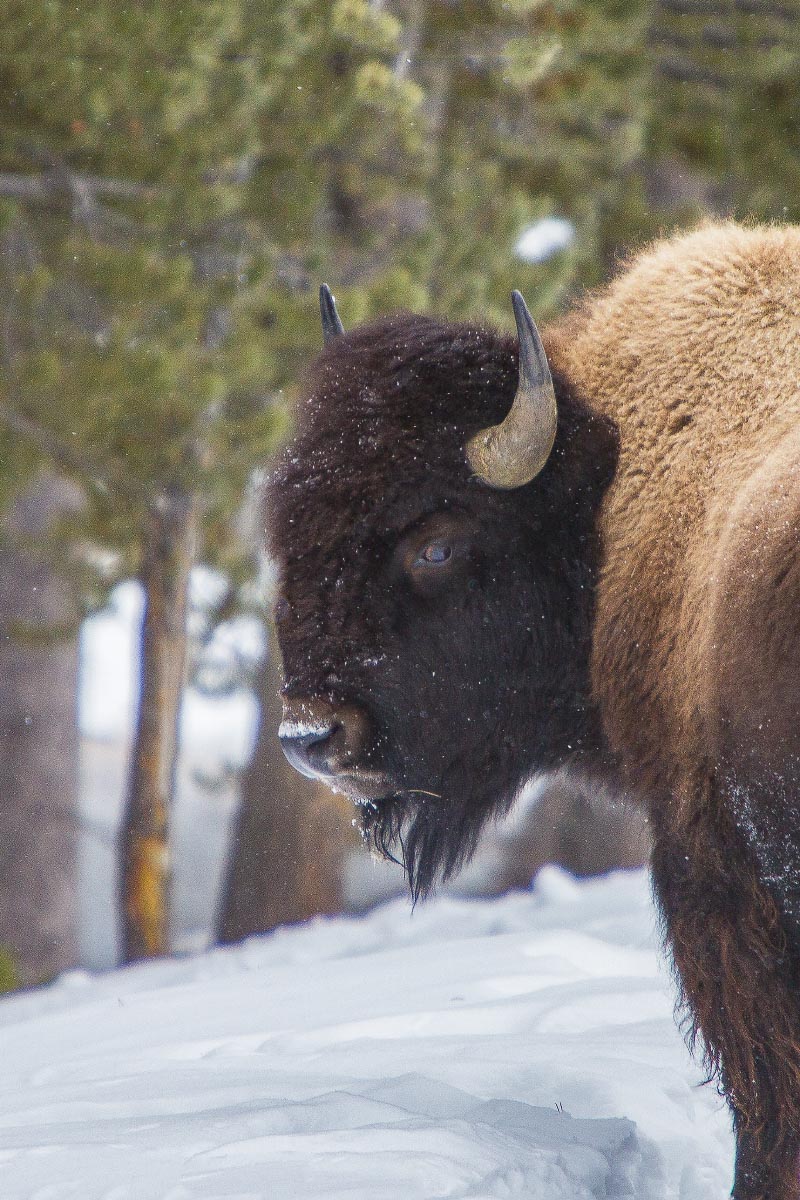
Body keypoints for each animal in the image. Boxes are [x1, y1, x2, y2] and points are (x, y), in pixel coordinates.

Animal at [267, 225, 800, 1200]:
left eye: (437, 544)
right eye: (288, 531)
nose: (314, 737)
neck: (604, 494)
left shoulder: (716, 882)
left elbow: (762, 1101)